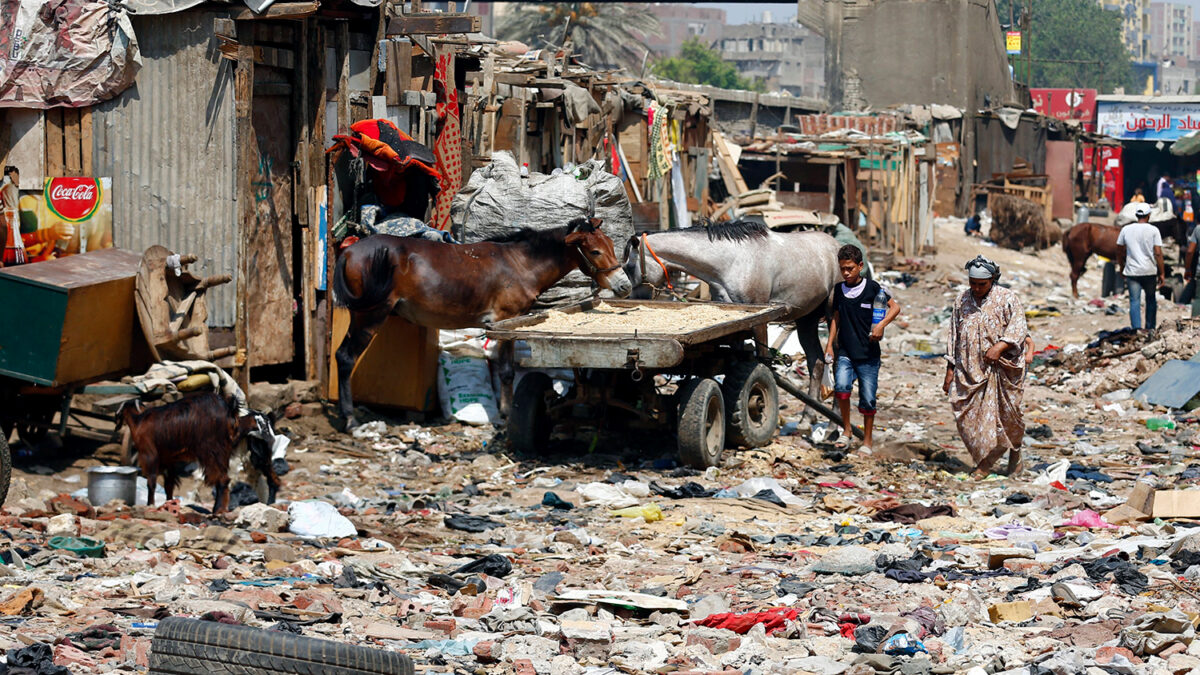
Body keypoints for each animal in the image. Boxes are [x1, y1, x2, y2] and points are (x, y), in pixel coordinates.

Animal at [328, 214, 628, 425]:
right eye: (595, 252)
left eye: (612, 245)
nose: (624, 285)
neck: (521, 264)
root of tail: (349, 252)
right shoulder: (507, 319)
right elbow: (506, 371)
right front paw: (506, 415)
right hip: (371, 315)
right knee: (346, 357)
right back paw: (350, 418)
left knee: (342, 355)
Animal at [624, 218, 840, 393]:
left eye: (629, 267)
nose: (635, 298)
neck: (733, 262)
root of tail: (837, 246)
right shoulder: (736, 323)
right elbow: (735, 360)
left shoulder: (760, 320)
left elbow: (764, 361)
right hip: (807, 319)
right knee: (816, 363)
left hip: (833, 319)